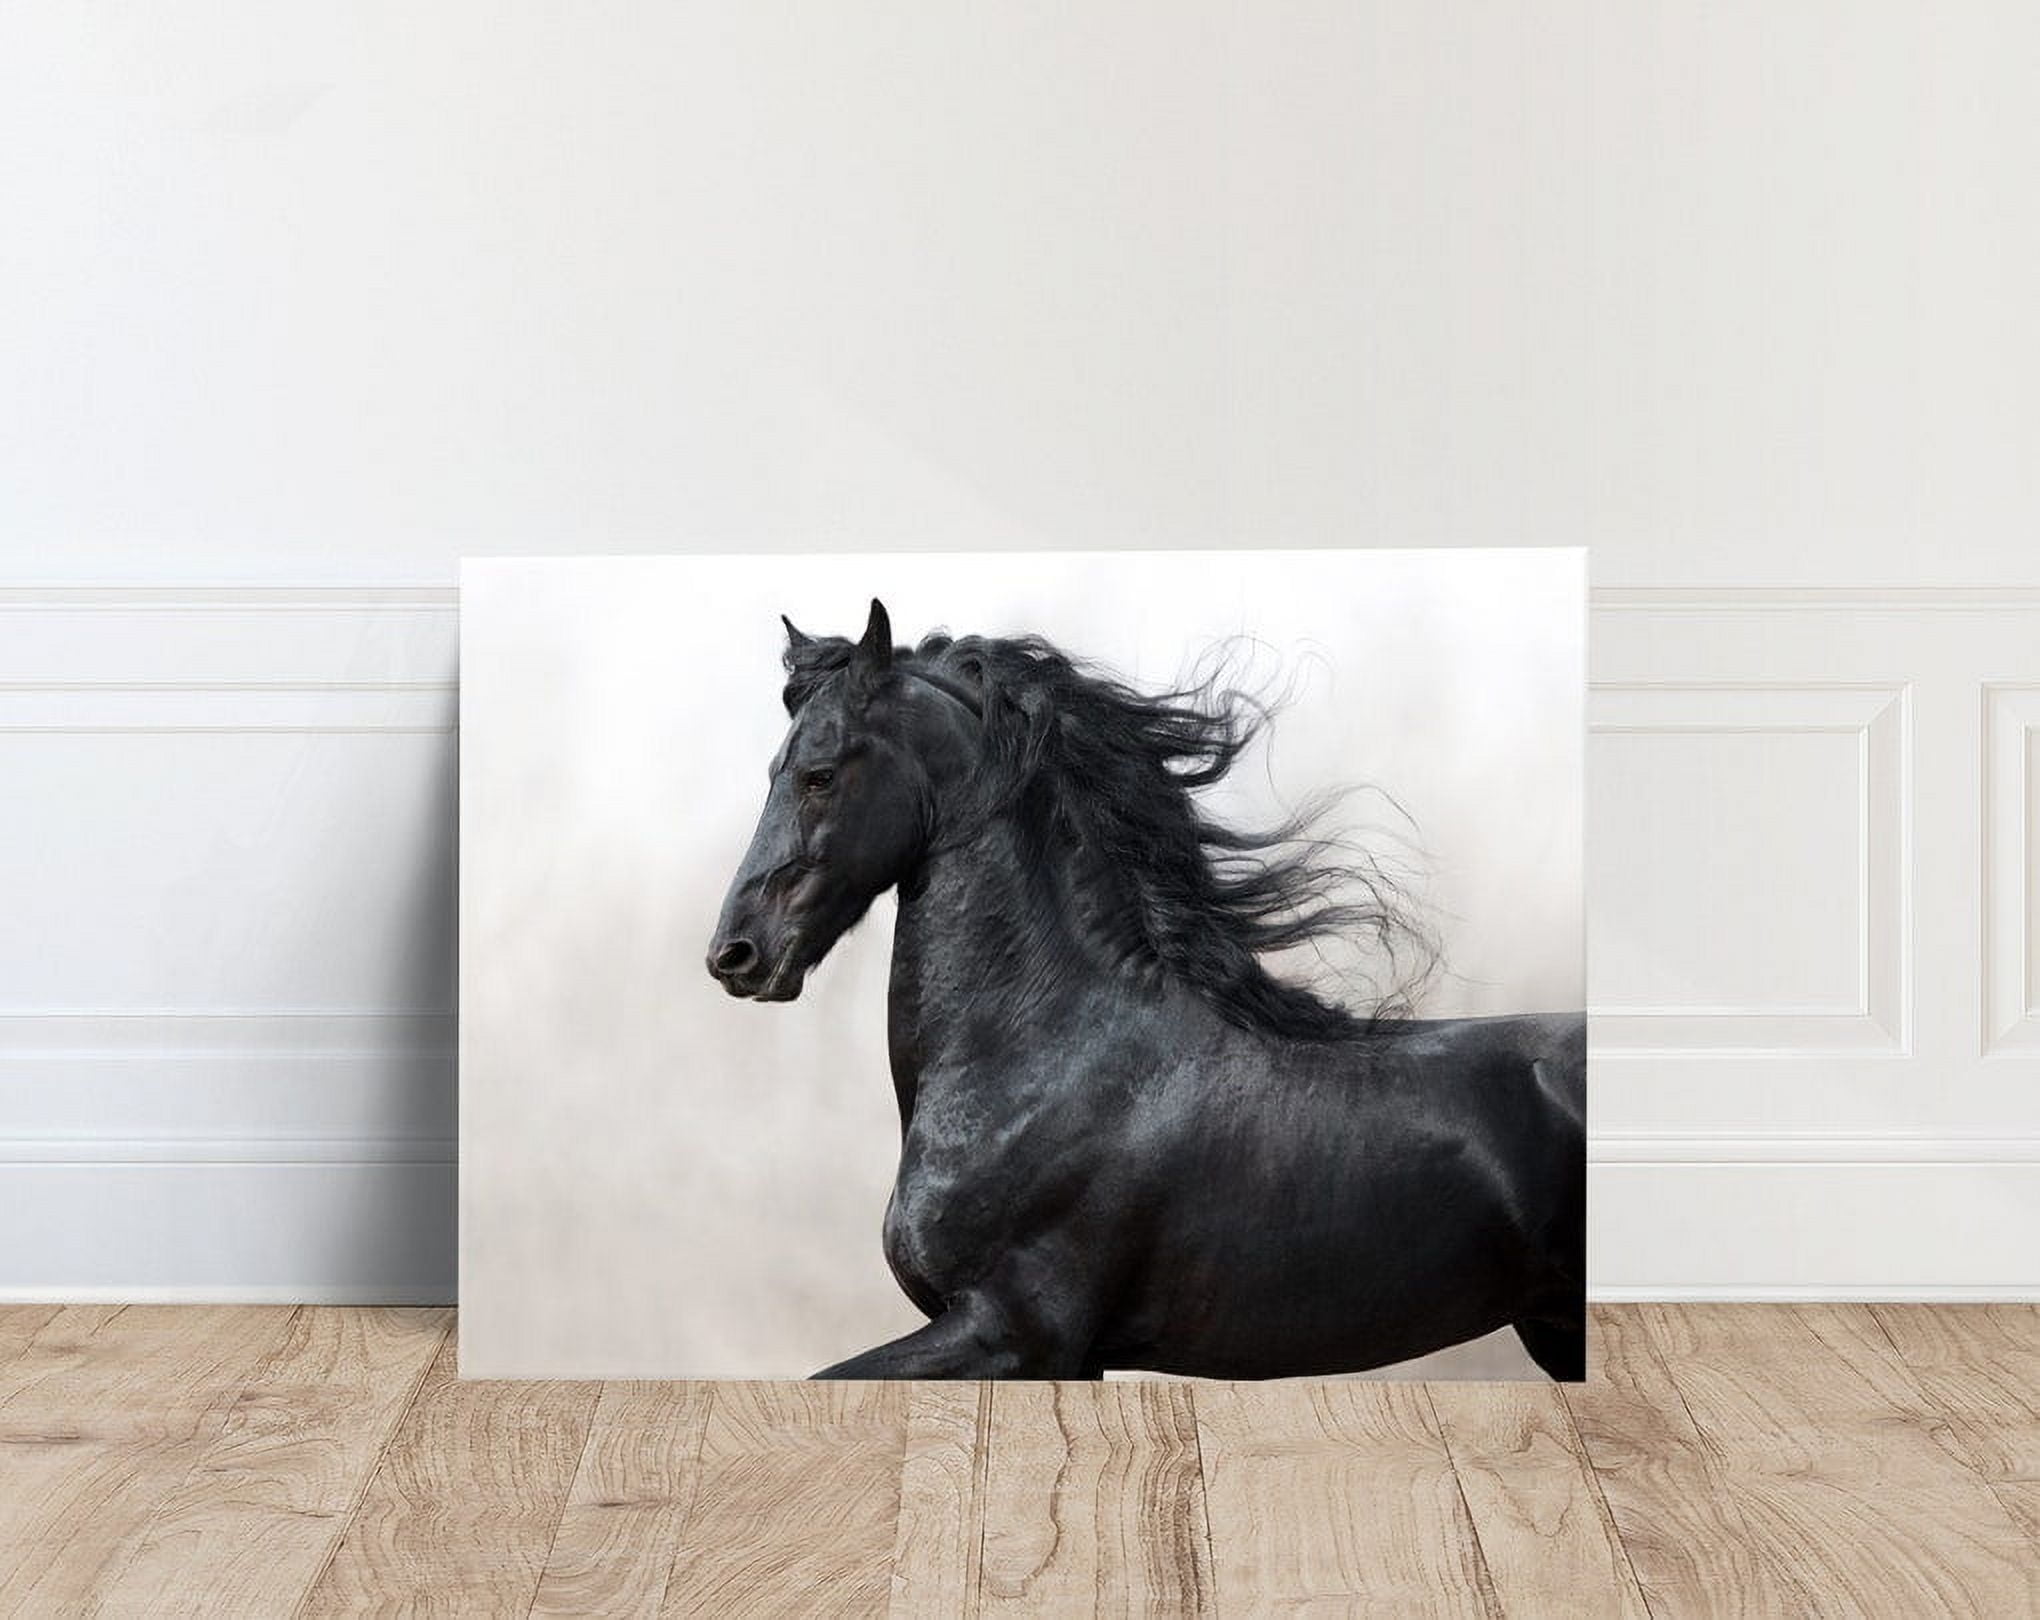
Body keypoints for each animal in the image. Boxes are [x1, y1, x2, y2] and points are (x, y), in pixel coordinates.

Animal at [707, 598, 1586, 1381]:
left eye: (819, 776)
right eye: (775, 770)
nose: (736, 953)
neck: (1049, 1053)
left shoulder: (1012, 1335)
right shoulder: (1065, 1358)